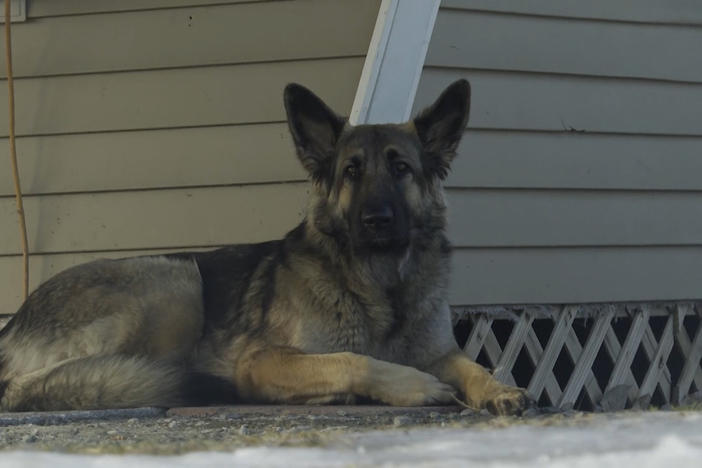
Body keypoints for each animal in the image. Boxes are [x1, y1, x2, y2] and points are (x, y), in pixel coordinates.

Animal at [0, 78, 532, 414]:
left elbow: (473, 364)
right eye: (351, 172)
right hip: (176, 280)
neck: (381, 288)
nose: (375, 220)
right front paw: (414, 386)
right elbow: (353, 359)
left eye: (401, 168)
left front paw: (498, 388)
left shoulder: (441, 351)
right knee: (33, 385)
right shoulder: (261, 360)